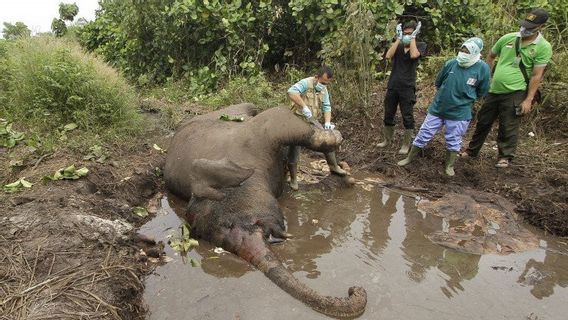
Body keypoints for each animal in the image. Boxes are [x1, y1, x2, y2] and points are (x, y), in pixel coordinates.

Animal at [164, 104, 368, 318]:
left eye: (229, 224)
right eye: (221, 238)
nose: (353, 290)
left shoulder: (261, 133)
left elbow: (283, 115)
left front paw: (336, 138)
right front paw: (345, 176)